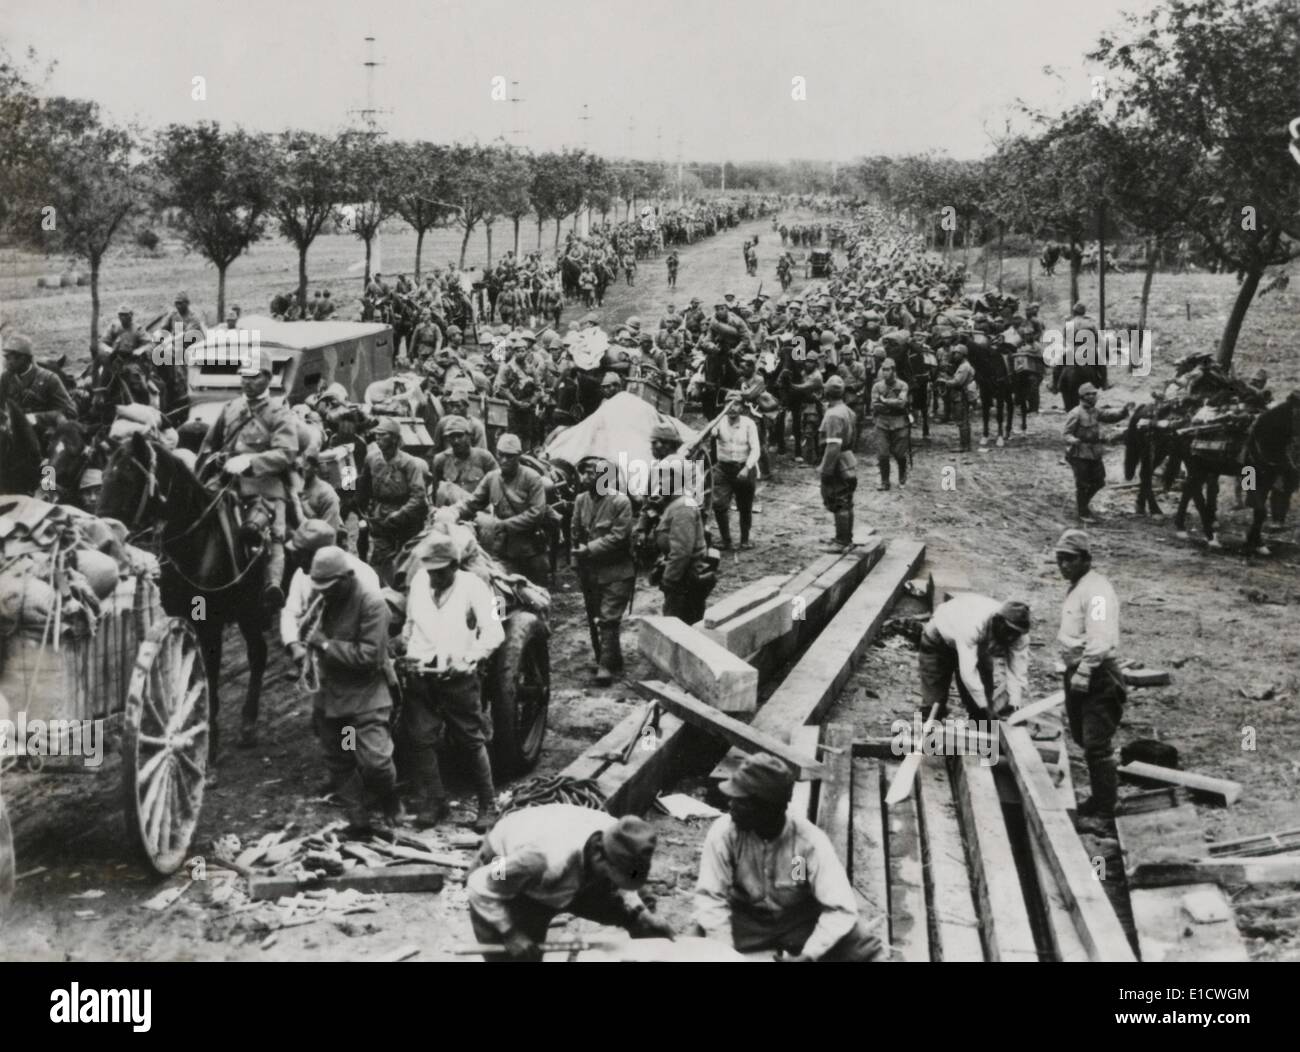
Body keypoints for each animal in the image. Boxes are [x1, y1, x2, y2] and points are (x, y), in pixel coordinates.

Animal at [99, 426, 271, 764]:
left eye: (125, 477)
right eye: (104, 476)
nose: (103, 537)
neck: (198, 542)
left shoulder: (211, 626)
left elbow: (210, 678)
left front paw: (209, 741)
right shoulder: (181, 621)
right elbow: (186, 674)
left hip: (250, 611)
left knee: (259, 654)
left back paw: (248, 723)